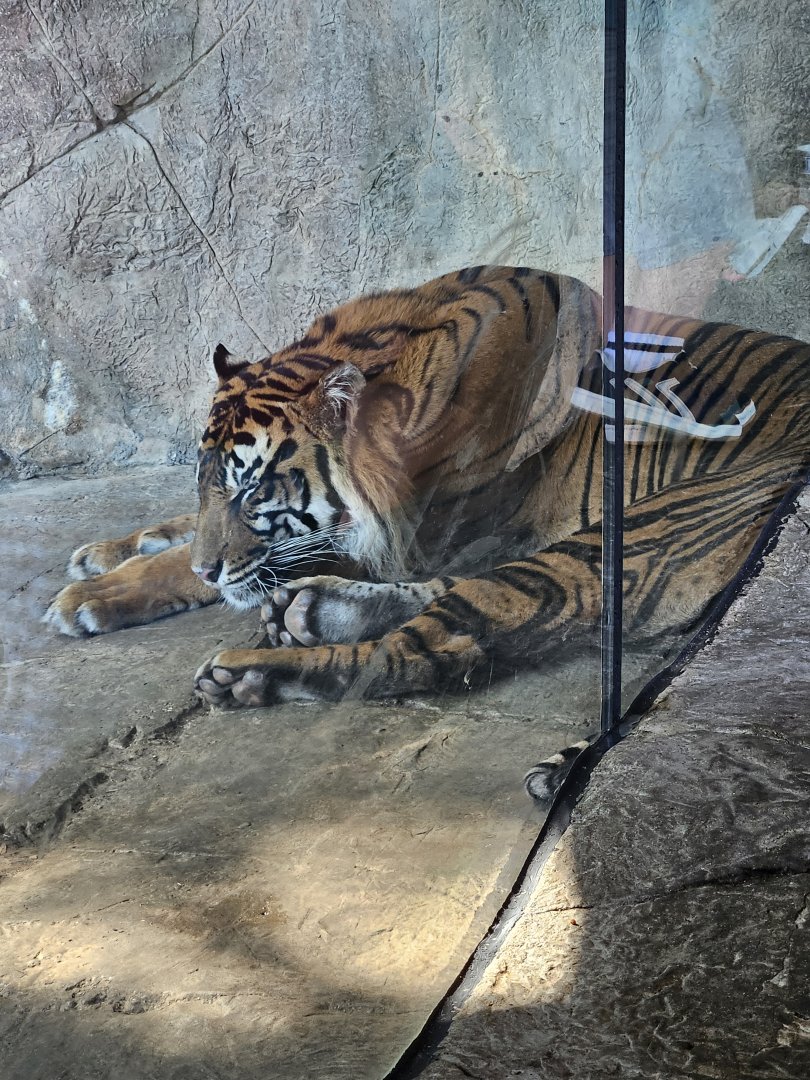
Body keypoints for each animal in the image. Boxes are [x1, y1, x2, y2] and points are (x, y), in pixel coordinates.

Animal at [45, 266, 810, 788]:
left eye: (254, 490)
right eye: (206, 480)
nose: (210, 565)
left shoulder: (410, 534)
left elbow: (243, 565)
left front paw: (90, 597)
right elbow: (182, 536)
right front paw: (105, 554)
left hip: (620, 538)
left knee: (419, 652)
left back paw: (255, 670)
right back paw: (309, 611)